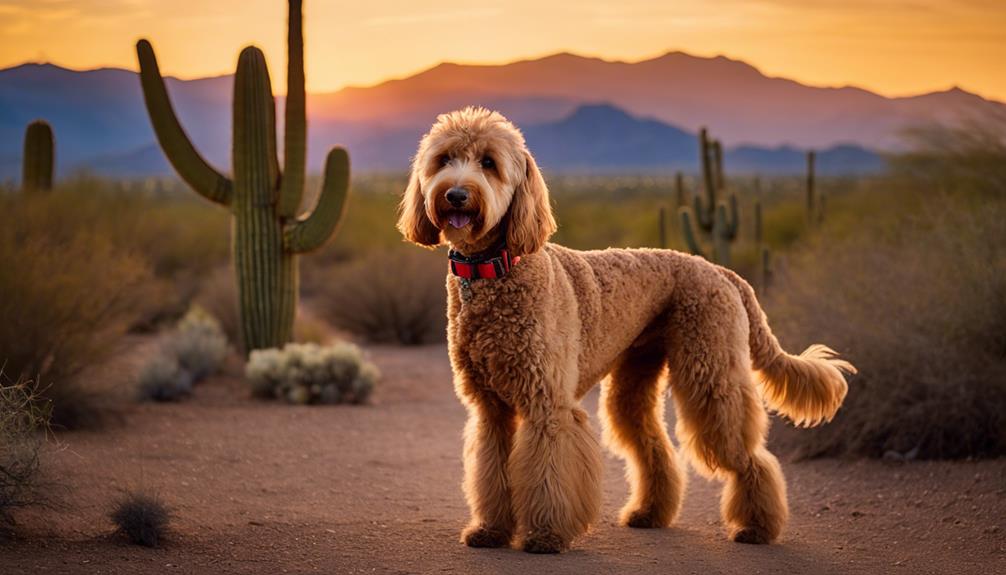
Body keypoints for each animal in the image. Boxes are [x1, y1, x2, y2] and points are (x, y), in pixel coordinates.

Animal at [396, 106, 853, 550]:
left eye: (489, 163)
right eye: (444, 160)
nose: (456, 194)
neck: (497, 267)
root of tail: (721, 271)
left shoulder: (548, 404)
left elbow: (548, 472)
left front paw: (546, 536)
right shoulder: (491, 410)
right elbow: (491, 472)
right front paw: (491, 530)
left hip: (711, 373)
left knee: (747, 454)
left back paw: (757, 527)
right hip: (636, 378)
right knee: (653, 444)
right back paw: (650, 513)